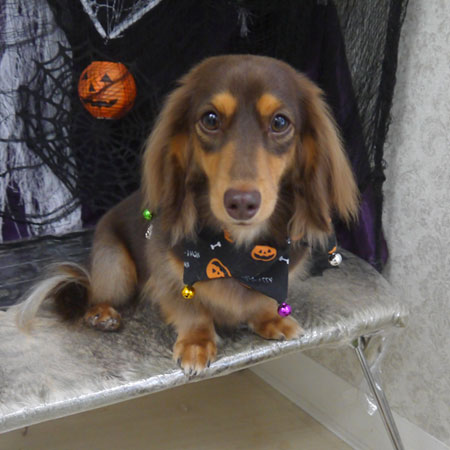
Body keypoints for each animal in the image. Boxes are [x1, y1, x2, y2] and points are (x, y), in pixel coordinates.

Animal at [16, 55, 358, 375]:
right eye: (210, 119)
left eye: (279, 122)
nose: (241, 203)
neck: (238, 253)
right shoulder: (168, 274)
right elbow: (191, 309)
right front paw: (197, 343)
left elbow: (262, 300)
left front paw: (270, 319)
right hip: (116, 267)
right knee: (95, 293)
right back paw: (101, 313)